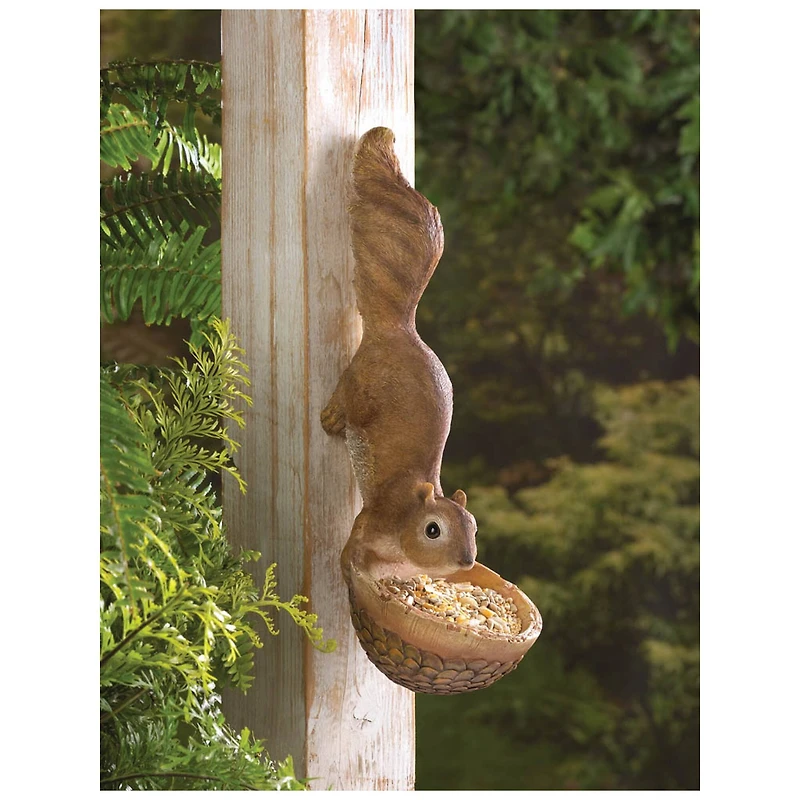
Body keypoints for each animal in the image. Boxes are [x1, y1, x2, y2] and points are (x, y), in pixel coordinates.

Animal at [321, 127, 477, 583]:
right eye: (432, 530)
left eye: (474, 526)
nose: (467, 560)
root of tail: (398, 330)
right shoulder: (374, 521)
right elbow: (351, 551)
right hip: (361, 384)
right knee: (345, 396)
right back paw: (332, 417)